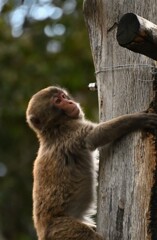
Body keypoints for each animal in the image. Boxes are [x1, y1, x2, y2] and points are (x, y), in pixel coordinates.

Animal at [26, 86, 157, 240]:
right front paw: (138, 119)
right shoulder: (73, 132)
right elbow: (95, 136)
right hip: (61, 229)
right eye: (58, 101)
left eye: (63, 96)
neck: (53, 129)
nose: (70, 102)